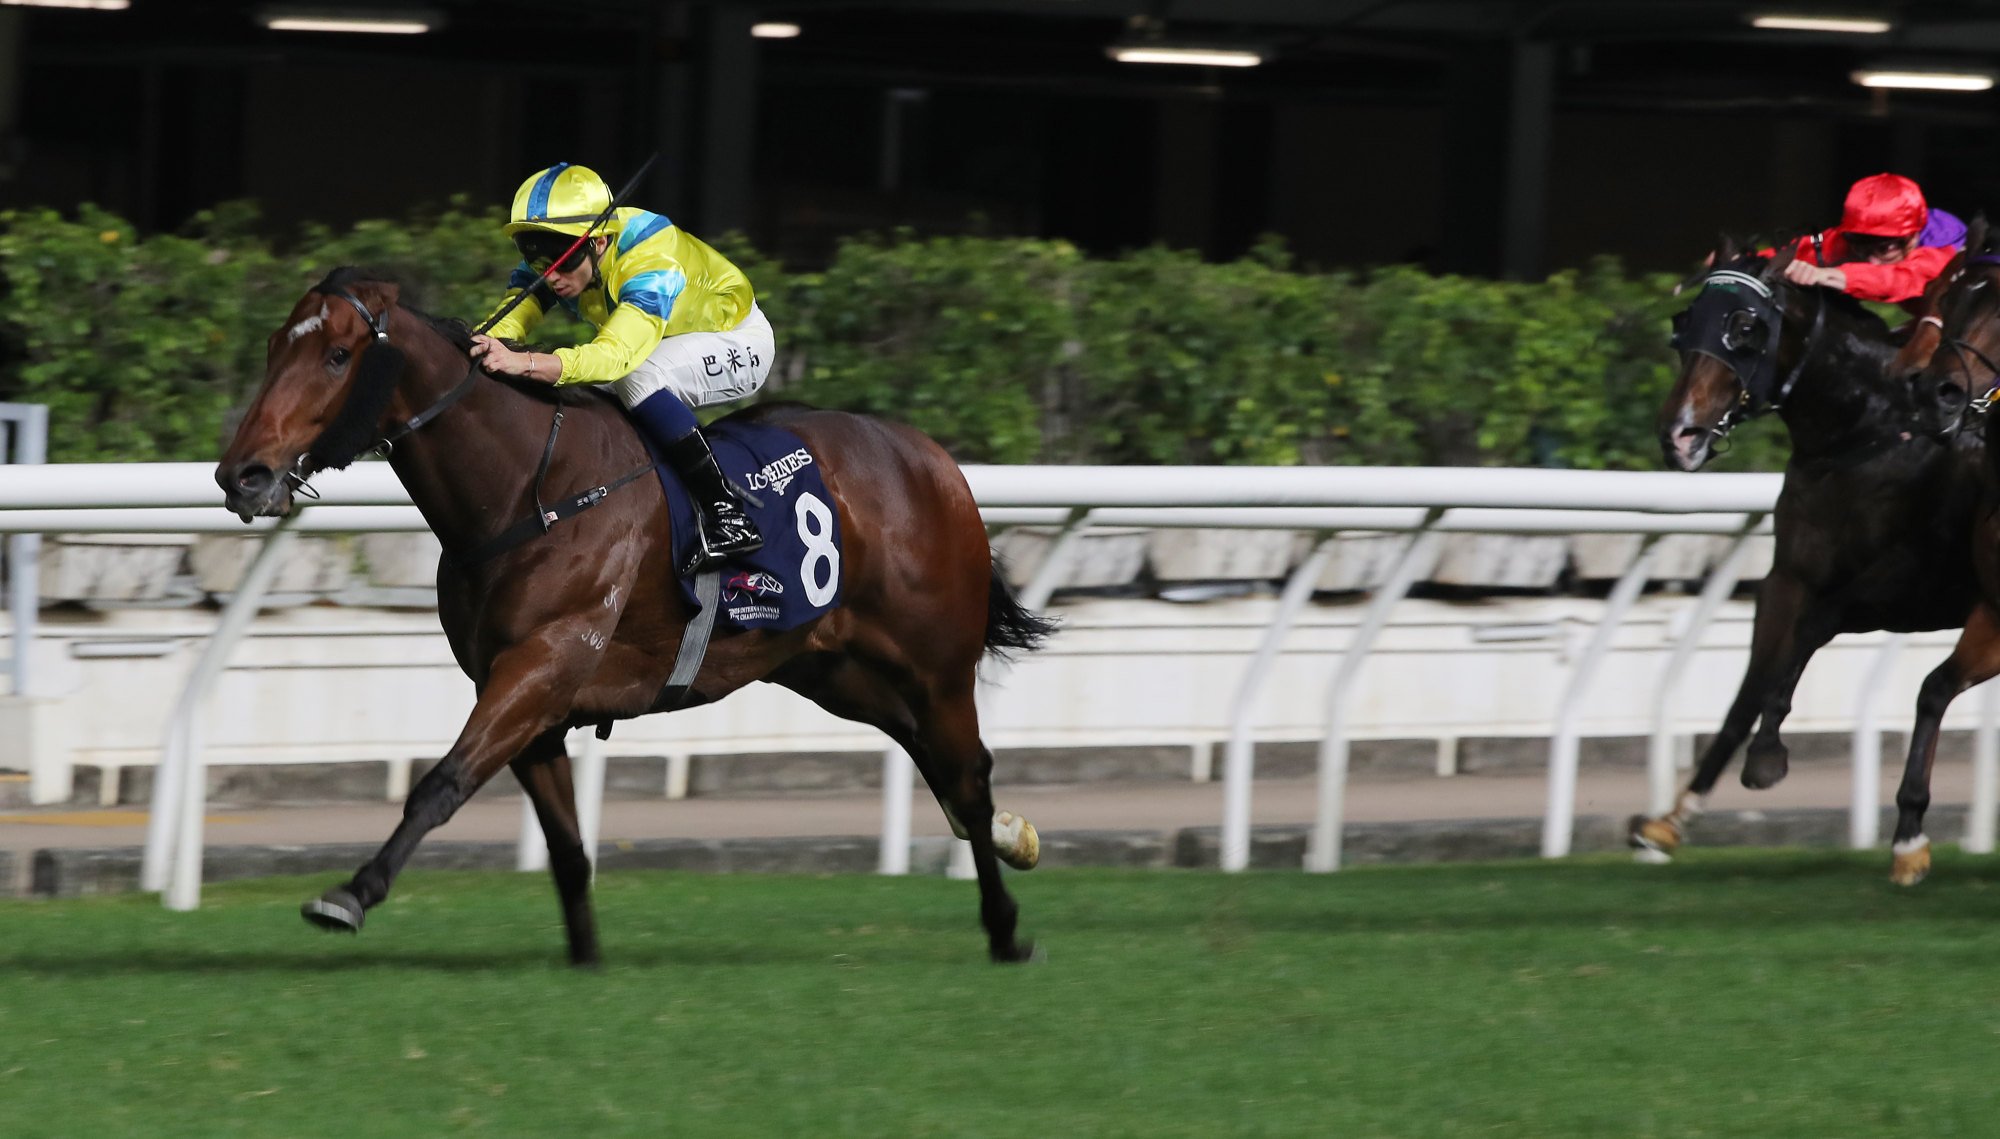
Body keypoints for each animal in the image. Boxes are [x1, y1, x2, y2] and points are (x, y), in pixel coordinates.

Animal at [215, 269, 1064, 963]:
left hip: (935, 665)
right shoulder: (528, 694)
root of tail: (937, 460)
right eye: (274, 347)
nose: (241, 474)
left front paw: (349, 894)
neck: (530, 490)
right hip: (839, 671)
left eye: (336, 355)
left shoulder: (546, 661)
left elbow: (443, 780)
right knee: (942, 769)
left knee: (968, 776)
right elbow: (565, 844)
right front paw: (587, 958)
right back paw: (1014, 841)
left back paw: (1006, 925)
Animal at [1624, 236, 1984, 859]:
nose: (1679, 436)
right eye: (1683, 322)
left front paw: (1767, 756)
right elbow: (1751, 687)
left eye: (1745, 327)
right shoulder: (1787, 577)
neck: (1865, 434)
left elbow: (1811, 633)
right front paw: (1672, 816)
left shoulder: (1910, 589)